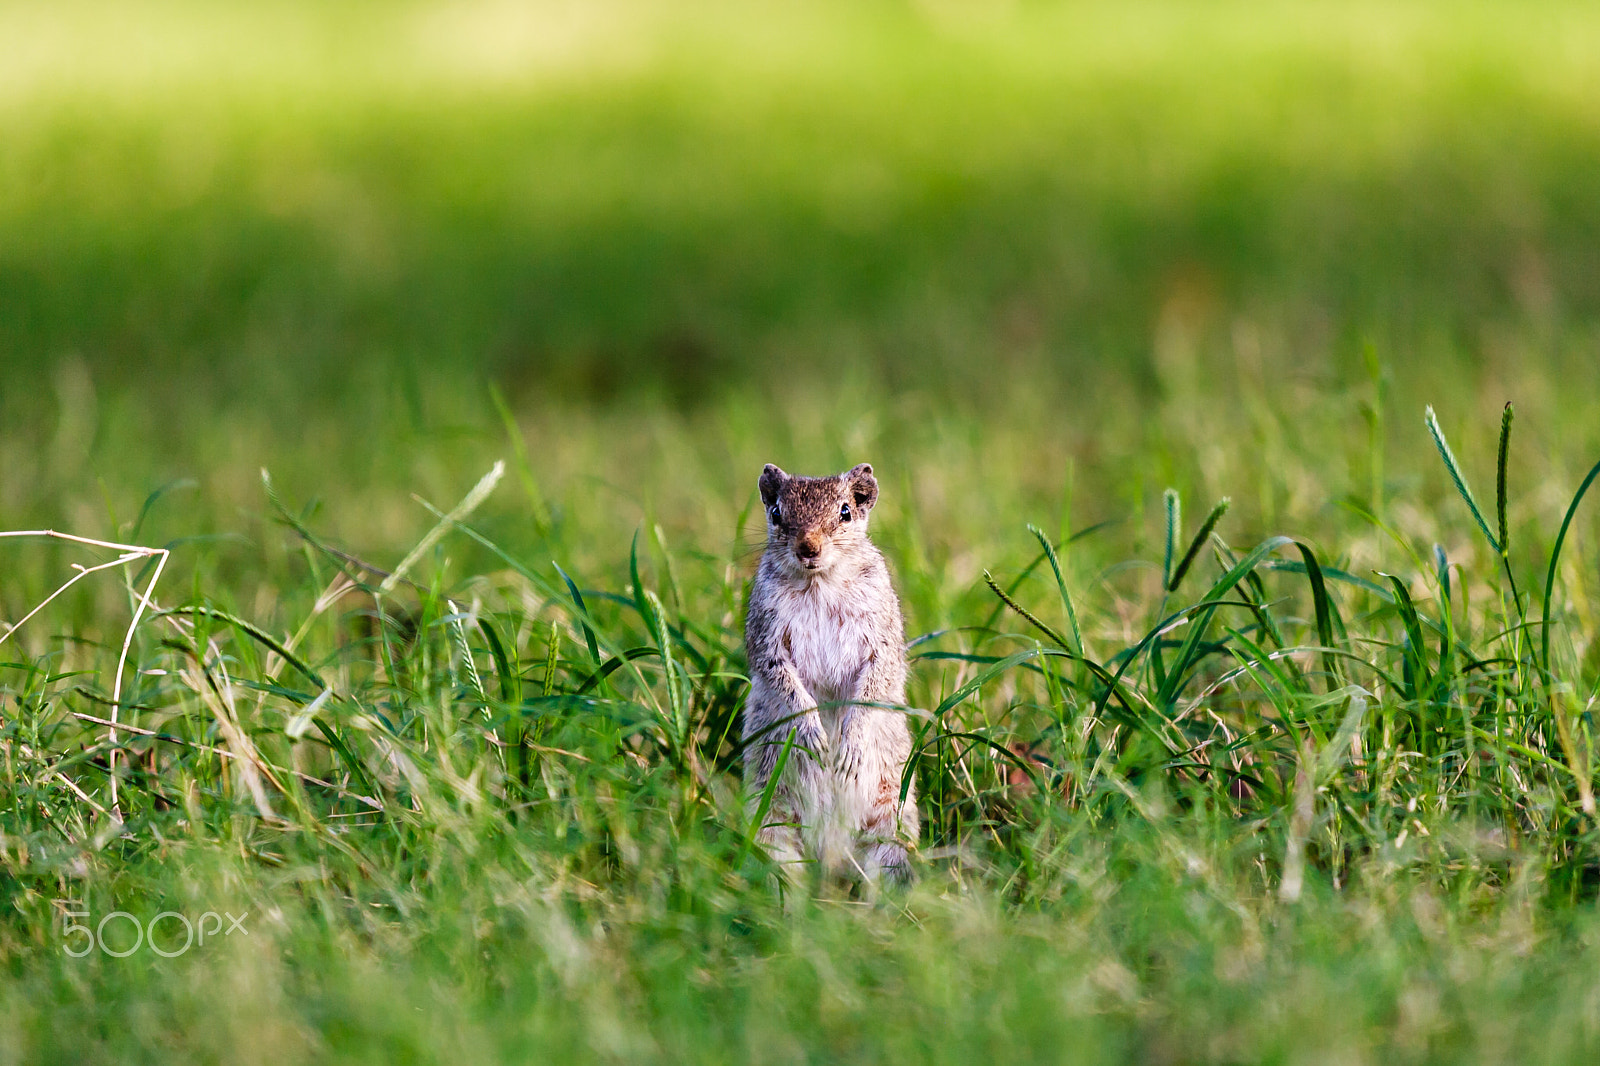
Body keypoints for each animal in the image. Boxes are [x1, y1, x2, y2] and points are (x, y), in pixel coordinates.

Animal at [743, 462, 919, 886]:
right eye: (776, 512)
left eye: (845, 512)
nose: (809, 547)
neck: (818, 581)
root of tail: (831, 854)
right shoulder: (766, 636)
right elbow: (783, 682)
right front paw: (812, 733)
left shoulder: (880, 637)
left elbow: (874, 681)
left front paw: (851, 744)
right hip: (769, 820)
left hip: (892, 824)